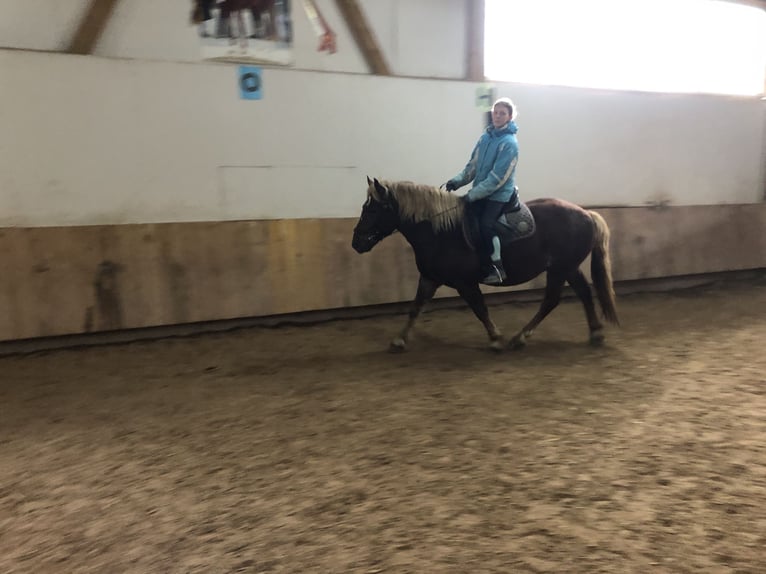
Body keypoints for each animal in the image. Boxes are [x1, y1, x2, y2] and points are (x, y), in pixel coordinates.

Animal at [351, 177, 619, 352]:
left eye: (373, 209)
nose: (356, 242)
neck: (440, 232)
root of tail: (587, 214)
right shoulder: (429, 278)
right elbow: (415, 307)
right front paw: (399, 340)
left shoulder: (464, 283)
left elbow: (480, 308)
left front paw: (496, 338)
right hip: (567, 267)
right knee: (583, 292)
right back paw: (595, 332)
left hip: (560, 268)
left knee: (551, 300)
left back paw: (520, 338)